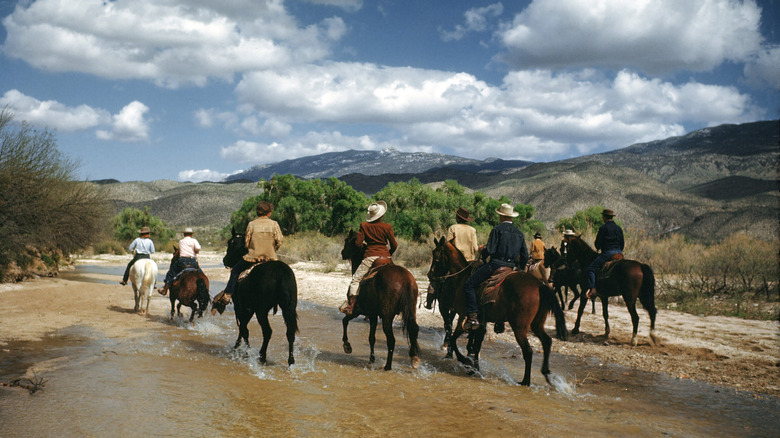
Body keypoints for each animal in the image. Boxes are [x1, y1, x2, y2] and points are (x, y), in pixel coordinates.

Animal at [210, 229, 298, 366]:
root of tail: (281, 272)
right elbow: (243, 327)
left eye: (230, 243)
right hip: (288, 308)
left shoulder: (241, 307)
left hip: (261, 310)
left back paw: (262, 356)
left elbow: (243, 328)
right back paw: (291, 361)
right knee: (290, 332)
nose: (225, 260)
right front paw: (240, 347)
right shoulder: (249, 308)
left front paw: (244, 350)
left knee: (267, 331)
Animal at [340, 231, 420, 372]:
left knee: (391, 340)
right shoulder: (373, 315)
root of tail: (405, 279)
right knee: (413, 329)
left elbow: (345, 321)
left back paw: (388, 366)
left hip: (387, 317)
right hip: (410, 311)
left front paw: (347, 346)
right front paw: (371, 359)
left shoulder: (360, 311)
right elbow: (371, 338)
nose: (342, 253)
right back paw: (414, 358)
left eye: (347, 241)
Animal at [426, 238, 568, 384]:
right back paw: (547, 374)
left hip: (519, 327)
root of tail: (539, 285)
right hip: (536, 324)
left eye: (436, 257)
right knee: (547, 342)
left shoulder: (463, 317)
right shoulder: (480, 323)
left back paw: (525, 381)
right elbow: (475, 345)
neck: (462, 277)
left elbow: (455, 340)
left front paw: (466, 361)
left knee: (528, 351)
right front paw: (474, 369)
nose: (430, 275)